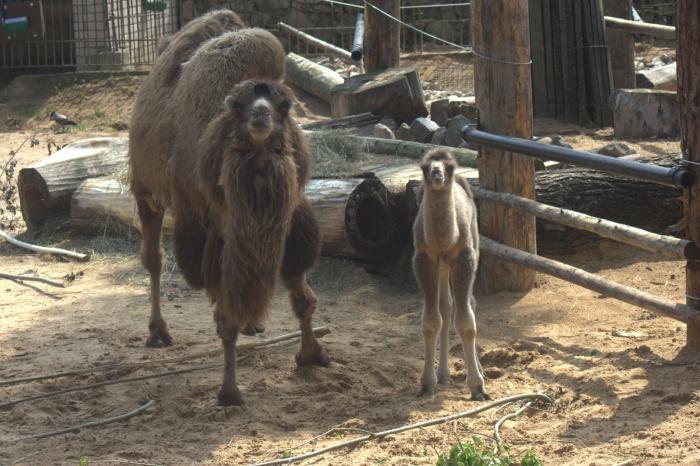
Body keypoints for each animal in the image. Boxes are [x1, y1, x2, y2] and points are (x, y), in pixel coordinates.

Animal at [410, 148, 486, 400]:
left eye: (449, 166)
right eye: (425, 166)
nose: (436, 173)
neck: (445, 240)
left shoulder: (464, 257)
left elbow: (466, 322)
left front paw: (477, 386)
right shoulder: (423, 259)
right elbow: (431, 321)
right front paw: (426, 384)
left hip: (474, 245)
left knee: (469, 302)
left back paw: (478, 369)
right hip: (442, 267)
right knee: (446, 306)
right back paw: (443, 374)